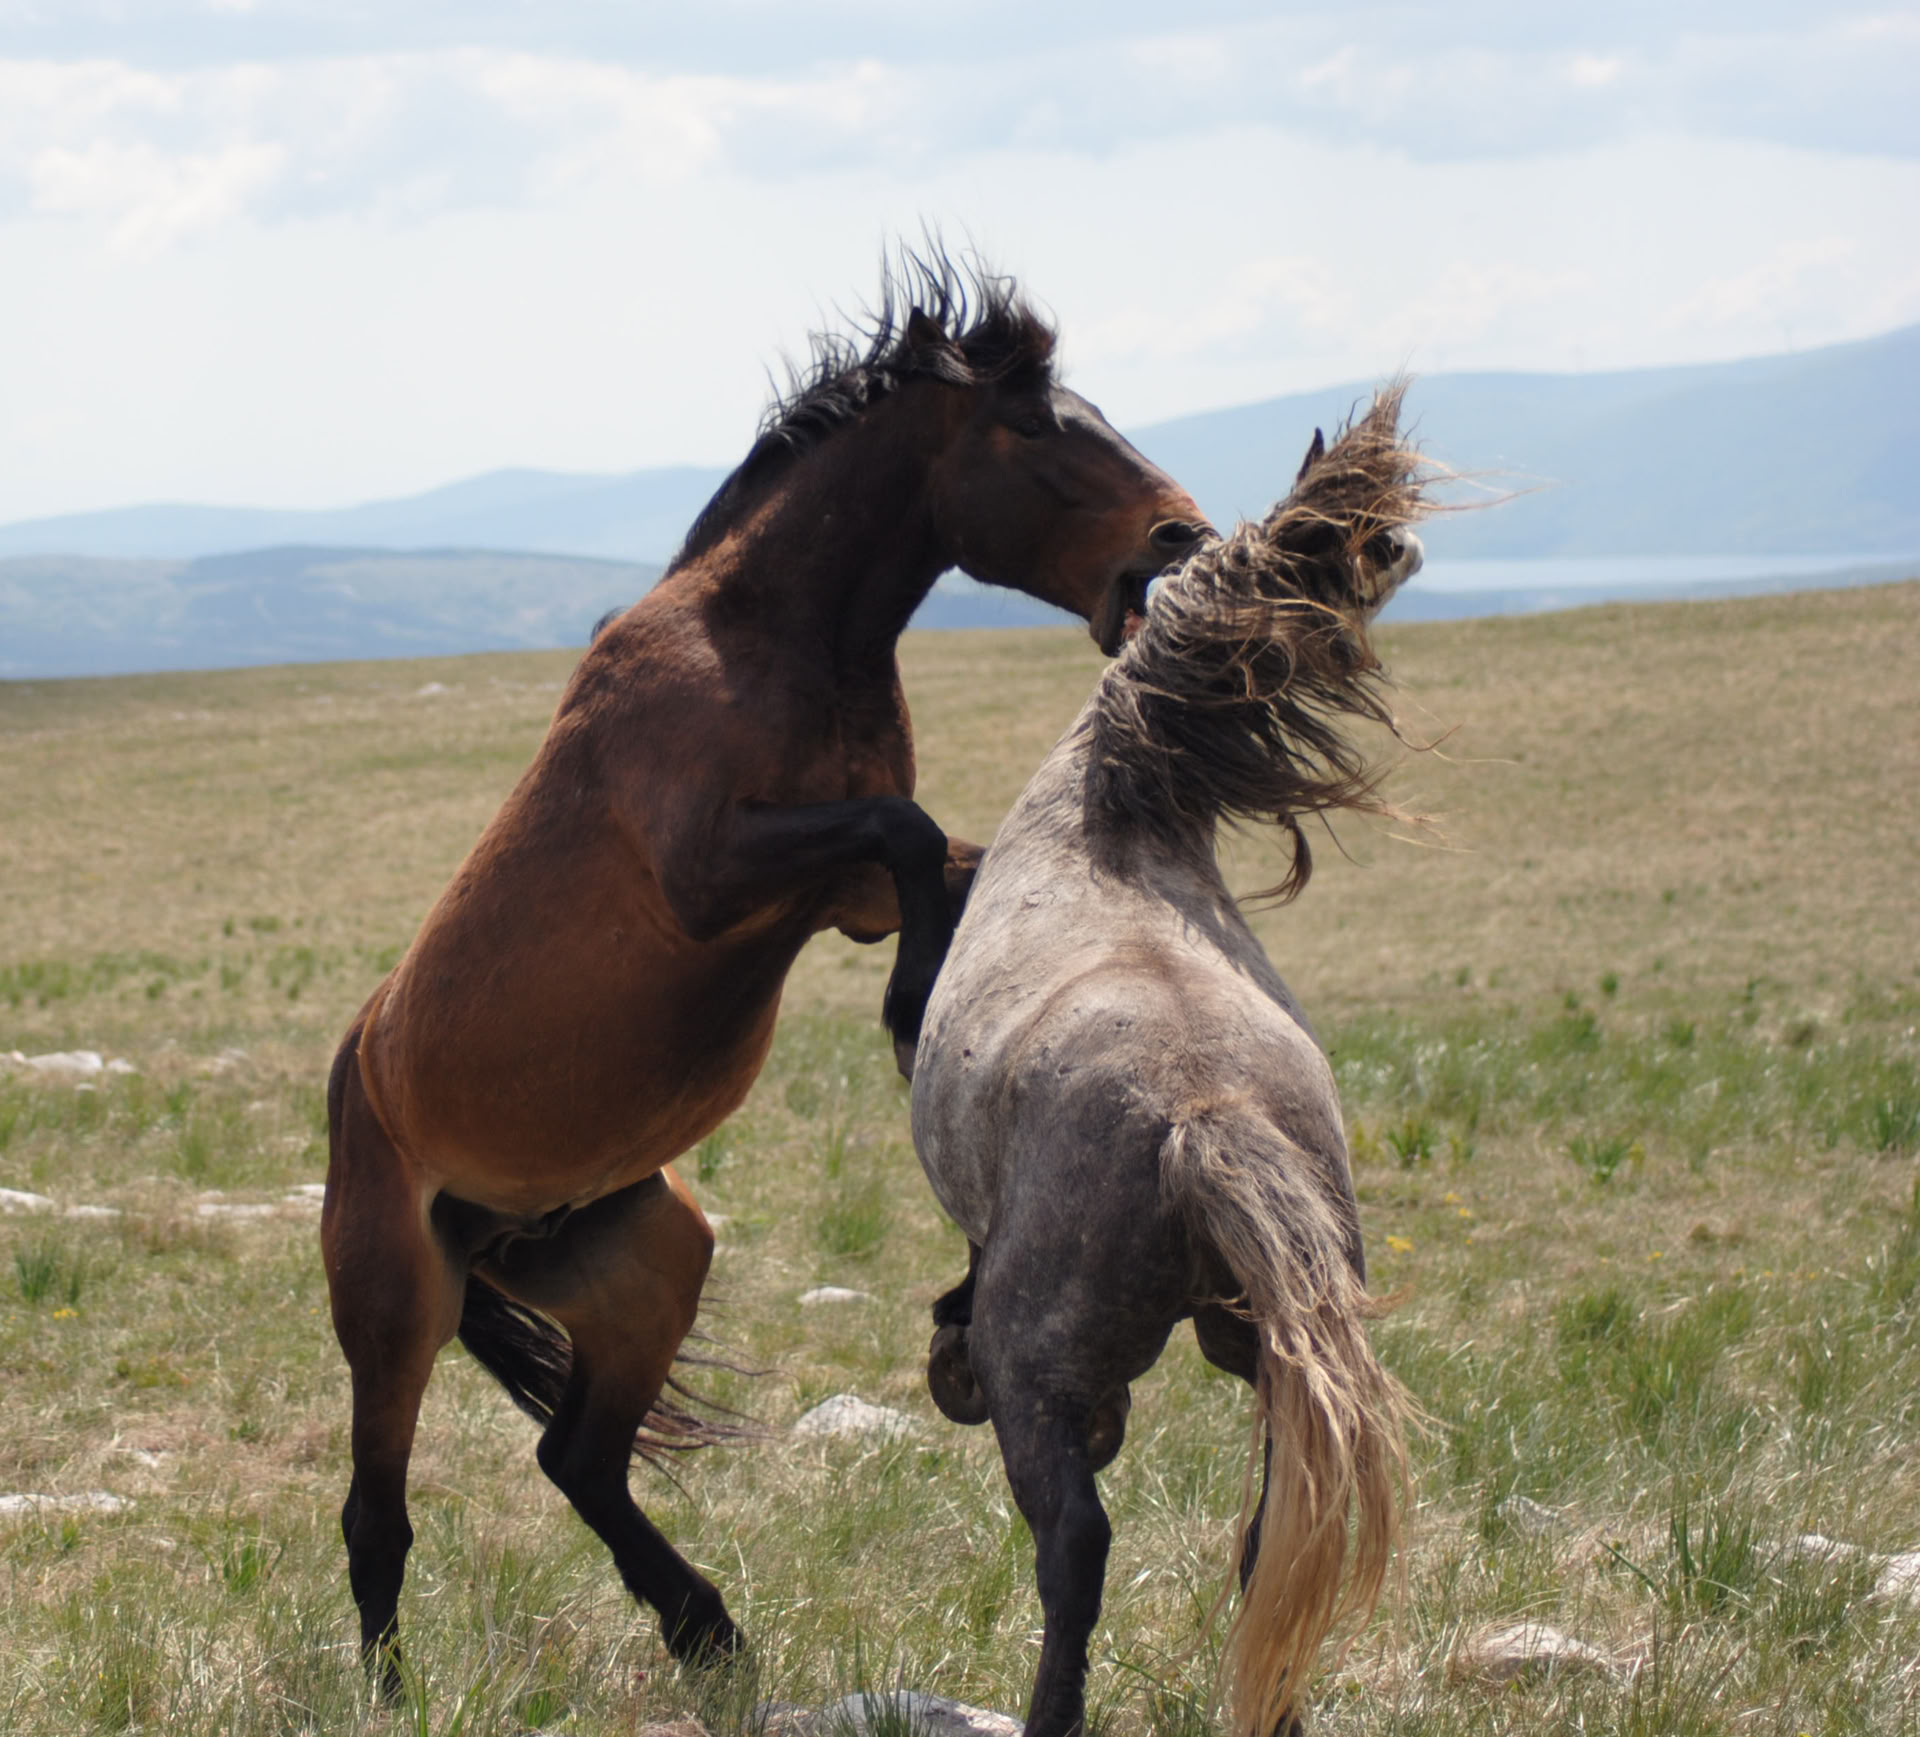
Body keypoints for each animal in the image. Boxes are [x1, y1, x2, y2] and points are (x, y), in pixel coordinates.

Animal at [321, 250, 1208, 1692]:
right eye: (1032, 425)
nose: (1177, 538)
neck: (765, 638)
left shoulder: (838, 893)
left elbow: (941, 860)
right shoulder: (717, 878)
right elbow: (910, 844)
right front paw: (912, 1017)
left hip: (650, 1262)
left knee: (577, 1458)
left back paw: (710, 1634)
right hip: (395, 1306)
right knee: (376, 1514)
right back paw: (409, 1693)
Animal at [908, 390, 1425, 1737]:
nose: (1392, 550)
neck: (1109, 819)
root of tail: (1207, 1116)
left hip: (1043, 1367)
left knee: (1075, 1547)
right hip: (1276, 1356)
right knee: (1270, 1547)